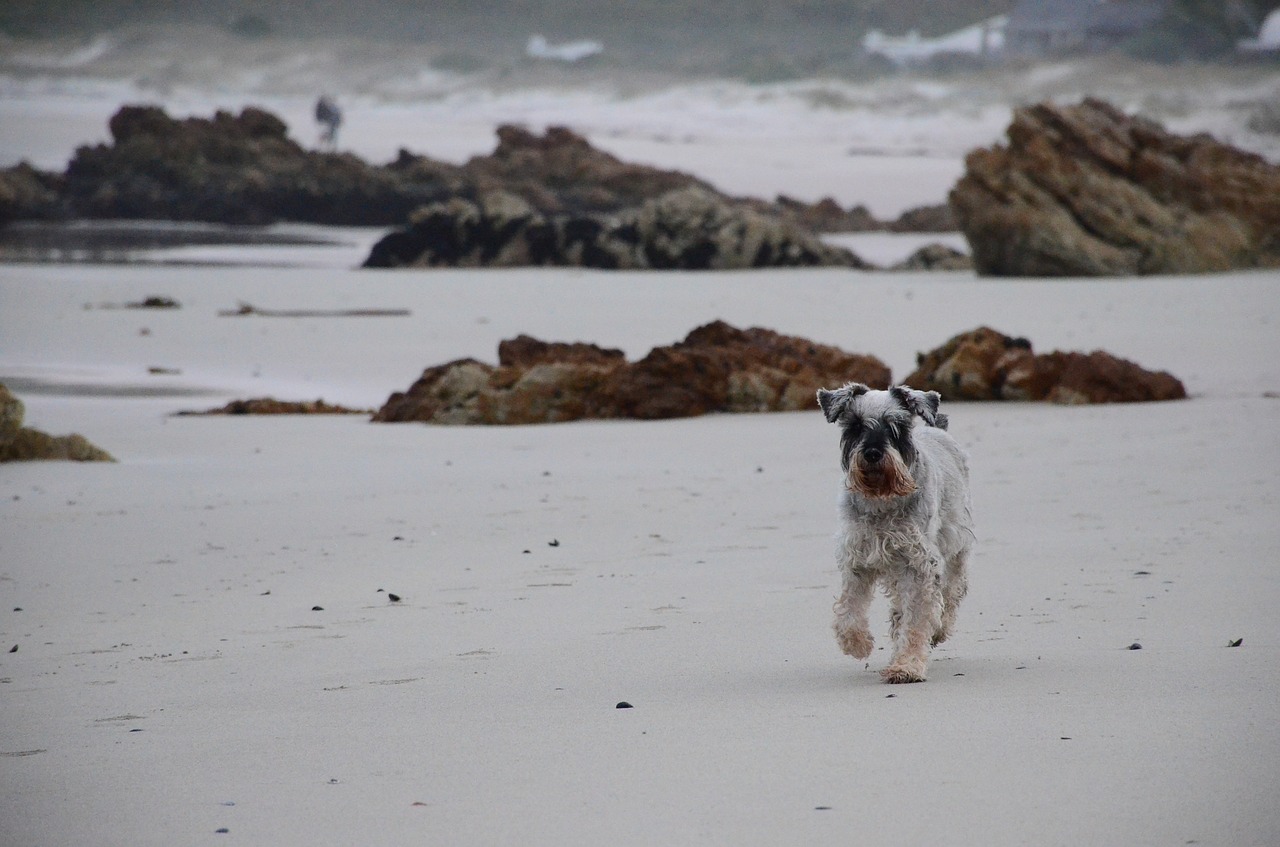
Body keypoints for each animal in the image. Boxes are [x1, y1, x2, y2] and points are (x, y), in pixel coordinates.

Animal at [814, 383, 972, 685]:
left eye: (895, 425)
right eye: (855, 425)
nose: (873, 453)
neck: (881, 499)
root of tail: (939, 430)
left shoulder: (919, 563)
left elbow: (917, 618)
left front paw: (906, 666)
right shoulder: (857, 559)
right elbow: (849, 609)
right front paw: (856, 643)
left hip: (955, 541)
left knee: (953, 589)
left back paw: (940, 627)